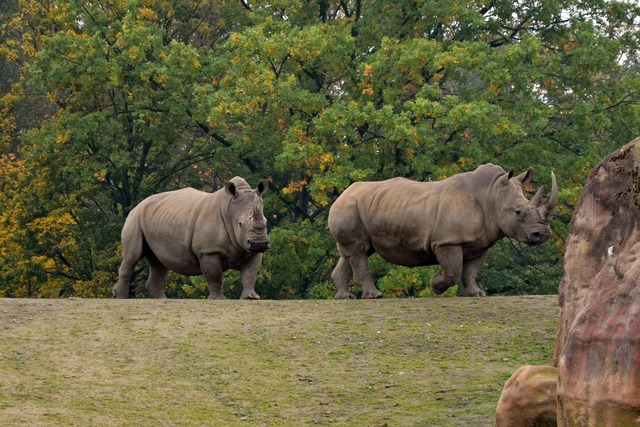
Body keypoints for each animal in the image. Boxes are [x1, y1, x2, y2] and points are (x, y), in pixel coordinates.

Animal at [113, 177, 270, 299]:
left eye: (266, 222)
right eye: (240, 224)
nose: (260, 244)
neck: (230, 208)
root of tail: (138, 204)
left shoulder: (249, 249)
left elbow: (250, 273)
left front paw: (251, 297)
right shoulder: (208, 251)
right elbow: (214, 276)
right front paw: (218, 299)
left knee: (159, 262)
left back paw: (163, 300)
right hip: (135, 217)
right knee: (132, 257)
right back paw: (120, 297)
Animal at [328, 164, 557, 299]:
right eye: (518, 212)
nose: (543, 234)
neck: (491, 194)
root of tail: (341, 195)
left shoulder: (482, 243)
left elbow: (470, 271)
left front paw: (476, 293)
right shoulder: (448, 240)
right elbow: (454, 270)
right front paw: (436, 286)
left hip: (360, 207)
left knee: (353, 253)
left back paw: (344, 297)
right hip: (349, 207)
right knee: (359, 251)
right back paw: (374, 295)